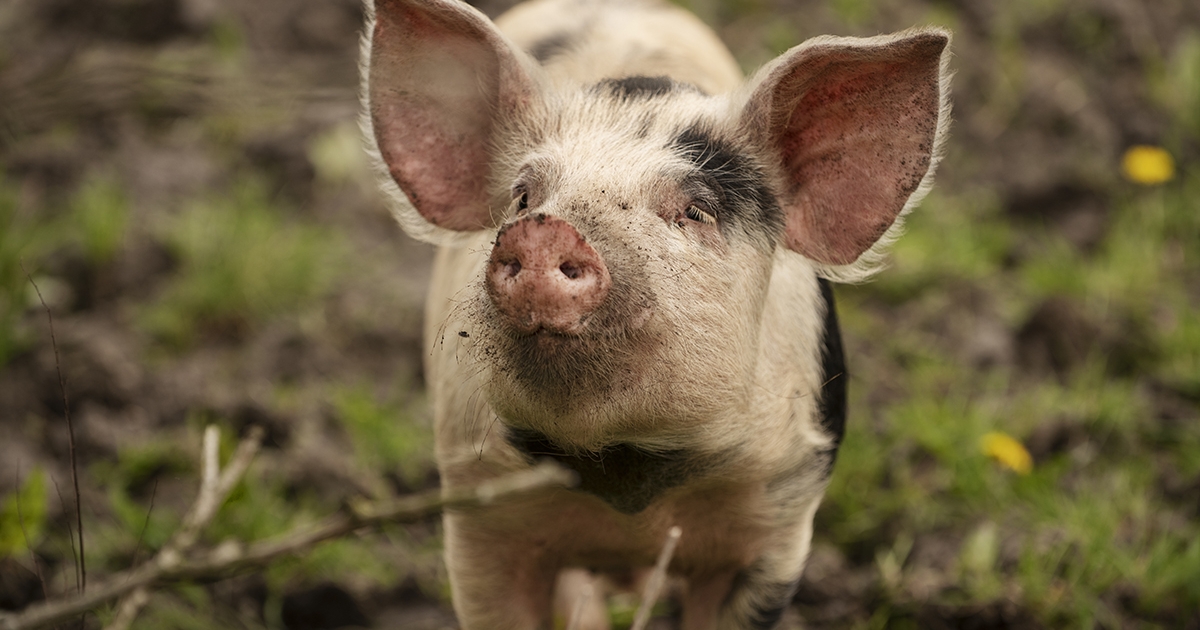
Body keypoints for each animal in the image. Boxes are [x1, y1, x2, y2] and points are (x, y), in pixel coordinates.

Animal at [360, 1, 950, 624]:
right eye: (523, 197)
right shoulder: (478, 515)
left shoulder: (780, 520)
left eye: (695, 211)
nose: (544, 229)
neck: (628, 476)